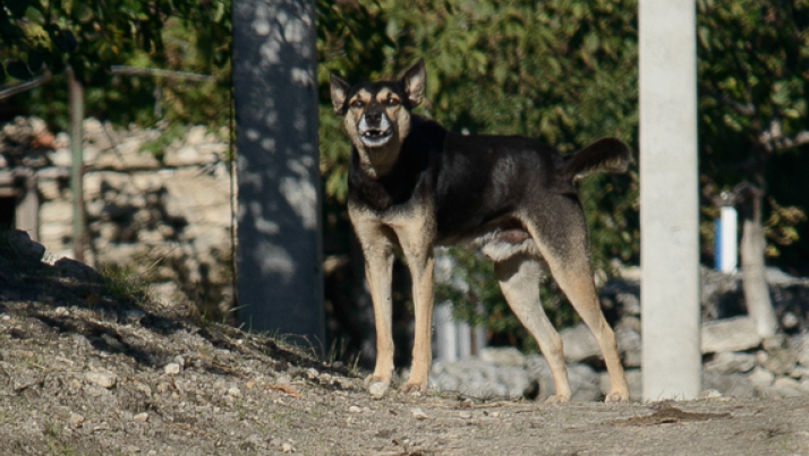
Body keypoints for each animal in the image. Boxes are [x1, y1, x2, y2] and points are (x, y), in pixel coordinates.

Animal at [330, 58, 632, 402]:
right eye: (357, 103)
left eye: (392, 101)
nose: (372, 117)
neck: (384, 176)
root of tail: (561, 165)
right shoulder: (376, 256)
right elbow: (383, 328)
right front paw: (380, 377)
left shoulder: (420, 259)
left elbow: (421, 334)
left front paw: (416, 382)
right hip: (514, 283)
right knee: (553, 340)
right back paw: (562, 397)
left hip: (568, 266)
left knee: (605, 332)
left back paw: (619, 393)